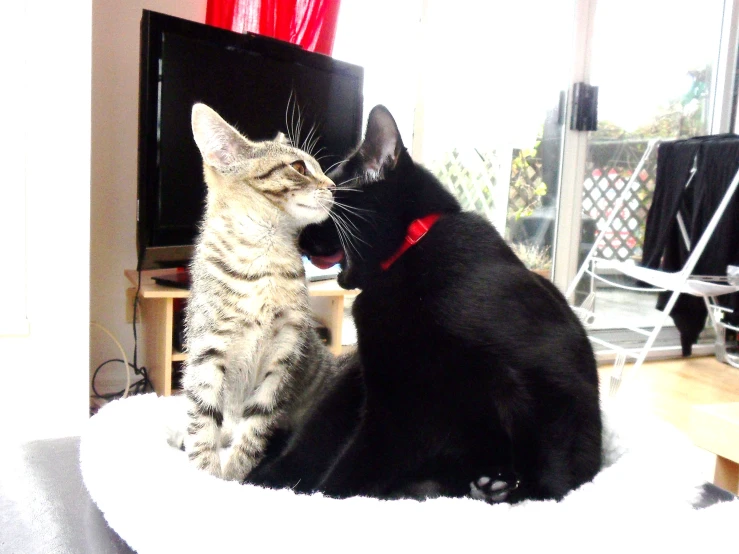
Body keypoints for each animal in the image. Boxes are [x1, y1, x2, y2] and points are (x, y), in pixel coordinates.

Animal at [184, 102, 336, 478]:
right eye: (299, 167)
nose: (333, 185)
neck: (264, 261)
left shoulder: (284, 355)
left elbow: (255, 429)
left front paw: (234, 477)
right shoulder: (206, 350)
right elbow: (202, 420)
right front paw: (205, 476)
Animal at [249, 103, 600, 500]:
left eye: (331, 190)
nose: (297, 234)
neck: (410, 249)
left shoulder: (545, 371)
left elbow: (556, 470)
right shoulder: (392, 391)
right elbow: (345, 455)